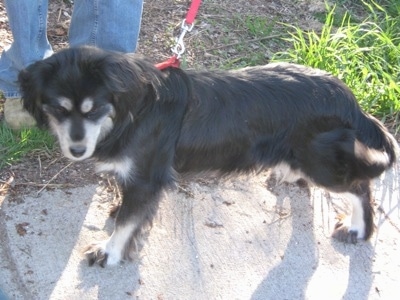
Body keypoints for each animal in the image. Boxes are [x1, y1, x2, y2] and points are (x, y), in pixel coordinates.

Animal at [18, 46, 396, 268]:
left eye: (93, 109)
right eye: (57, 109)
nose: (77, 150)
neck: (132, 110)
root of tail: (348, 98)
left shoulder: (147, 176)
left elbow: (128, 221)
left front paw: (110, 251)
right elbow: (131, 213)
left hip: (321, 160)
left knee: (360, 185)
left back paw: (359, 228)